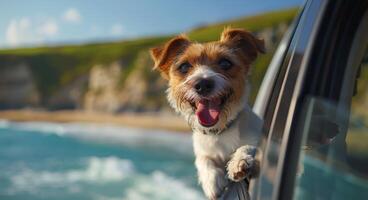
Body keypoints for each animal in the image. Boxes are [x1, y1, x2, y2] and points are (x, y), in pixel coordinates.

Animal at [151, 27, 266, 199]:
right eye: (184, 67)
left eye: (225, 63)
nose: (203, 84)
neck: (220, 131)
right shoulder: (203, 150)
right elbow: (203, 160)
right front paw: (212, 180)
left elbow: (250, 146)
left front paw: (239, 161)